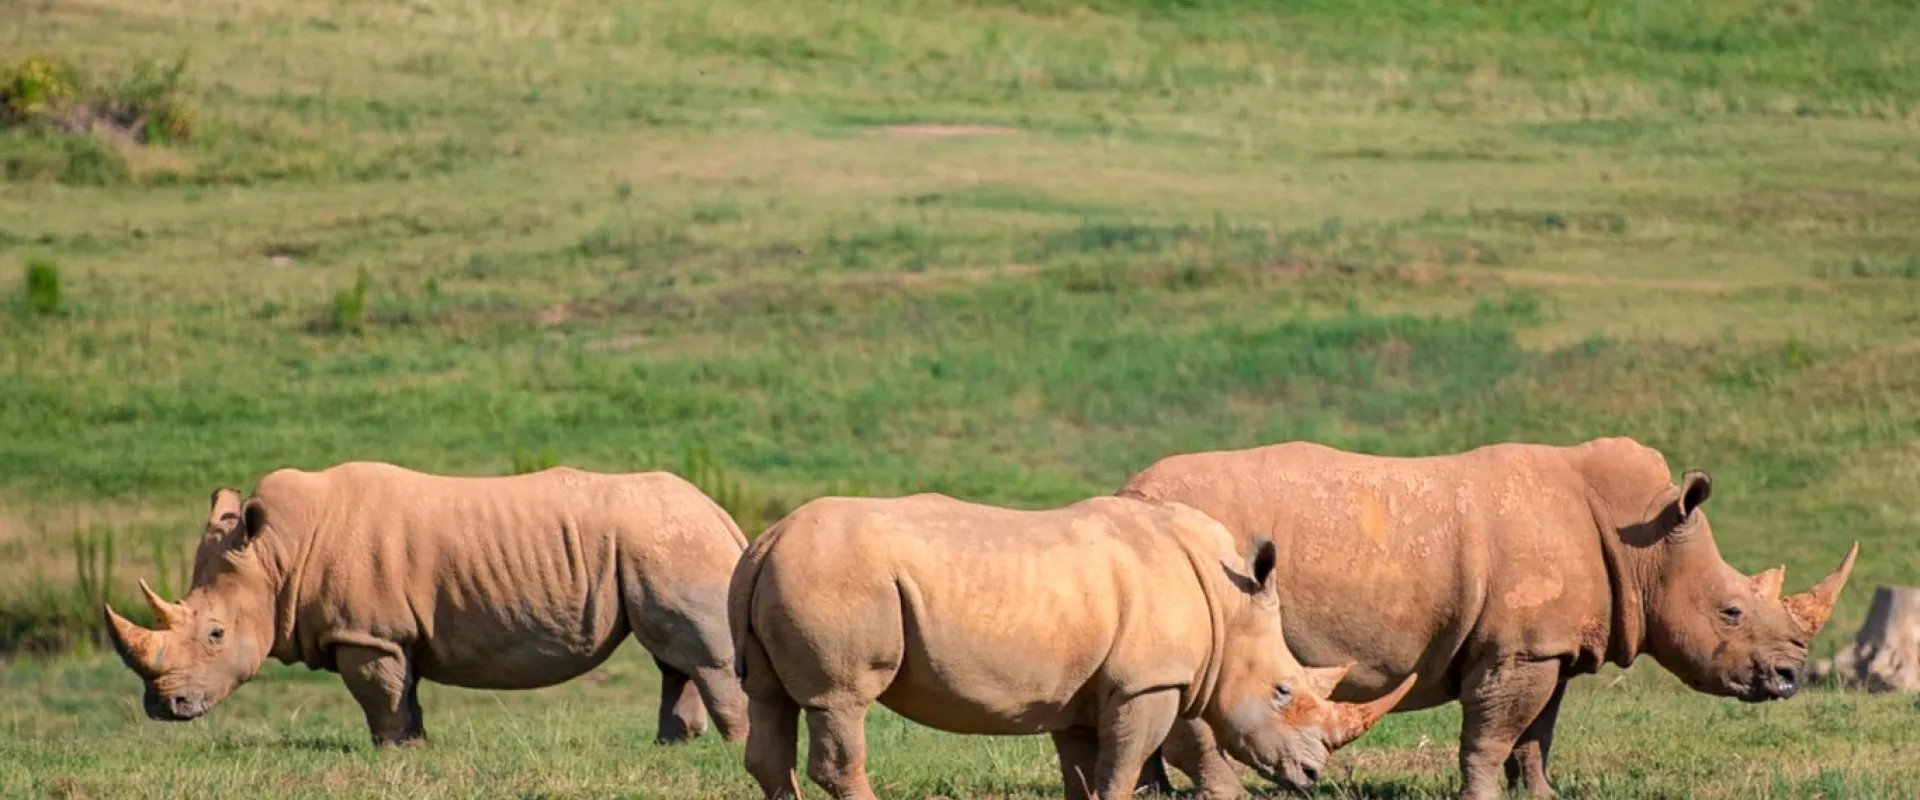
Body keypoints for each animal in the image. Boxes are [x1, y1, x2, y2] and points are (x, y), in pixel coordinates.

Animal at [103, 462, 752, 748]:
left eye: (214, 634)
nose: (163, 708)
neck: (278, 557)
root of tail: (721, 511)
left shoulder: (365, 632)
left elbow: (379, 693)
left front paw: (394, 751)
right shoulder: (389, 632)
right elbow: (403, 690)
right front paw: (412, 746)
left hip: (672, 542)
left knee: (700, 657)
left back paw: (732, 748)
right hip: (661, 543)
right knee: (674, 658)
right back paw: (675, 747)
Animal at [729, 492, 1415, 800]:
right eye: (1282, 690)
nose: (1312, 775)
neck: (1228, 605)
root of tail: (769, 538)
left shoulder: (1092, 690)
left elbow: (1087, 774)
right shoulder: (1150, 681)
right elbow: (1124, 770)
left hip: (783, 574)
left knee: (769, 703)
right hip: (835, 578)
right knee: (840, 702)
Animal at [1119, 437, 1859, 799]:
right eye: (1730, 612)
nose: (1789, 678)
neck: (1644, 543)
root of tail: (1131, 491)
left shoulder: (1551, 647)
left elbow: (1536, 734)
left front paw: (1544, 795)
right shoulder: (1520, 648)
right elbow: (1494, 731)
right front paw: (1482, 797)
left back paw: (1154, 795)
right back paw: (1223, 796)